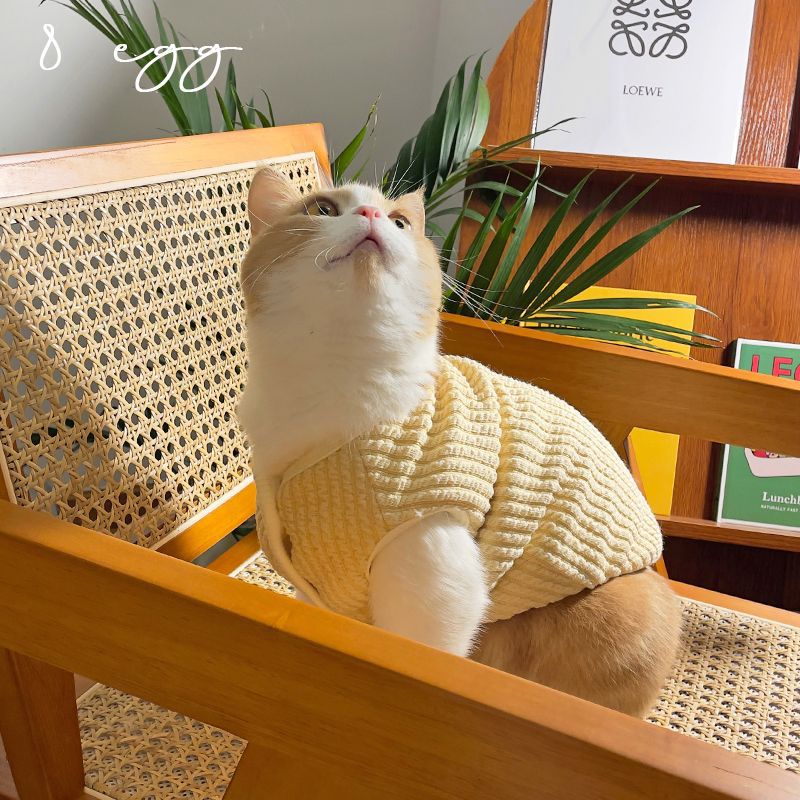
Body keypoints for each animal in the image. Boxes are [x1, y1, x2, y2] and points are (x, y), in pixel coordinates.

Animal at [238, 167, 682, 717]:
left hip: (614, 612)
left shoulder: (436, 573)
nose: (372, 214)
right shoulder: (316, 587)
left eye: (400, 222)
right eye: (321, 209)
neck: (335, 383)